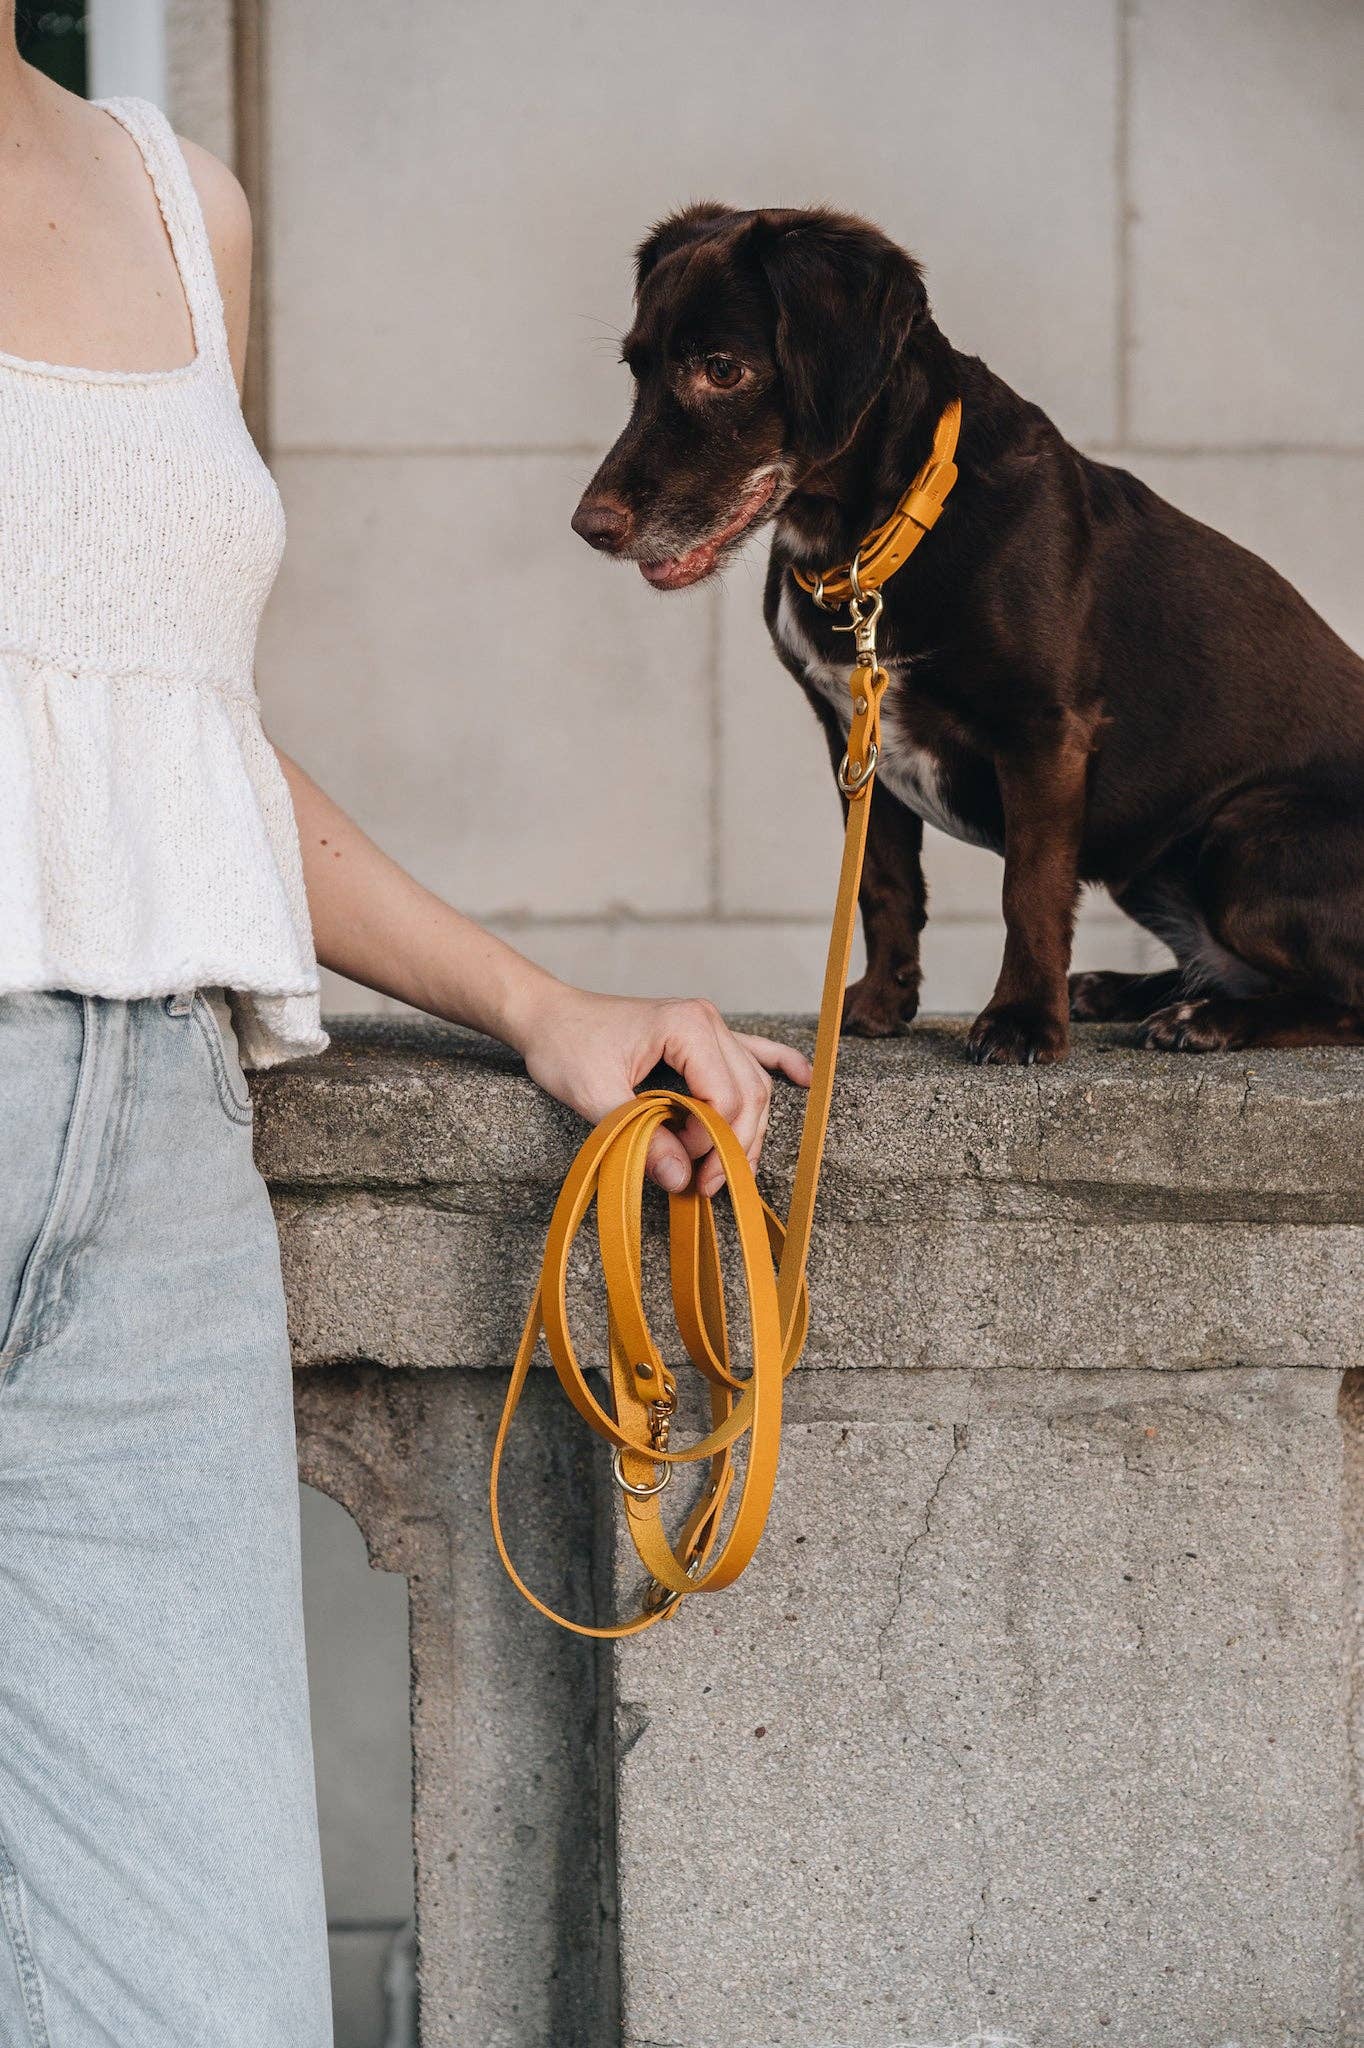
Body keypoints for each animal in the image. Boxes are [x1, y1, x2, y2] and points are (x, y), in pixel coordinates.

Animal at [569, 205, 1359, 1064]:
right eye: (636, 368)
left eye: (721, 369)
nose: (589, 527)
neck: (874, 538)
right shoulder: (854, 734)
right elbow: (882, 882)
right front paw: (877, 1006)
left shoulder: (1046, 731)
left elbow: (1030, 890)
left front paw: (1021, 1020)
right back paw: (1121, 990)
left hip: (1246, 835)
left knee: (1346, 999)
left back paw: (1205, 1018)